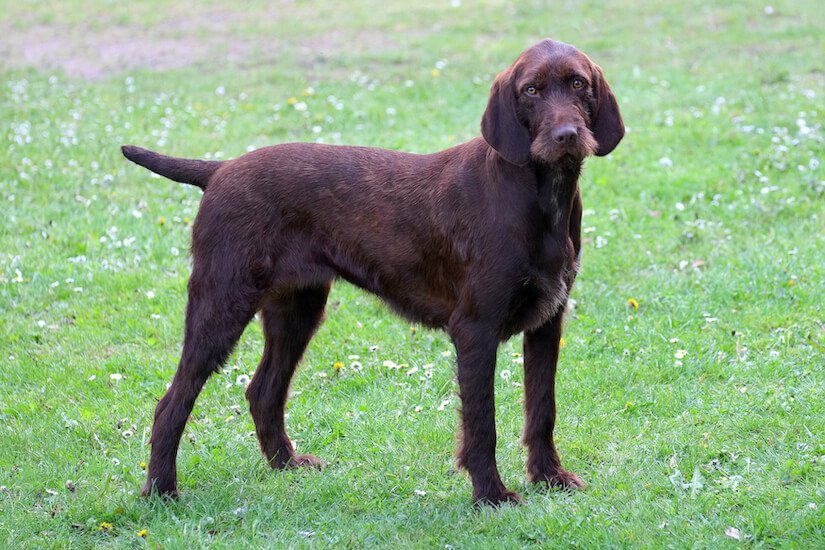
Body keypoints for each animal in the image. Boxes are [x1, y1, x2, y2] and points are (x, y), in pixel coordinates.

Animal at [122, 38, 620, 506]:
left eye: (578, 83)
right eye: (531, 90)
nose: (567, 135)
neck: (539, 196)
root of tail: (220, 170)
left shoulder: (547, 322)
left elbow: (542, 409)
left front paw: (549, 477)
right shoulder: (475, 329)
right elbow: (482, 423)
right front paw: (490, 495)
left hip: (297, 308)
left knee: (262, 391)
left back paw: (286, 464)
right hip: (221, 304)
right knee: (172, 403)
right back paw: (162, 490)